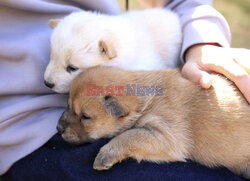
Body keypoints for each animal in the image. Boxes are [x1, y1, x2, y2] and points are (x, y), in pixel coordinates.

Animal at [57, 66, 250, 178]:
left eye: (85, 117)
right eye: (68, 105)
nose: (58, 128)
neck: (146, 102)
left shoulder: (167, 136)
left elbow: (130, 135)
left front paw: (106, 154)